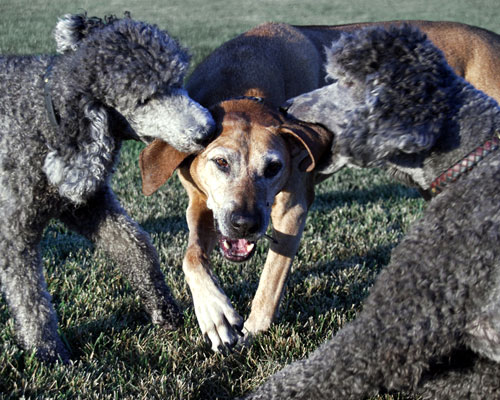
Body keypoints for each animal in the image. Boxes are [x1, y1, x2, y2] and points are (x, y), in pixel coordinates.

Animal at [0, 13, 213, 362]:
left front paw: (165, 310)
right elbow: (29, 296)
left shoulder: (87, 204)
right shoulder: (14, 232)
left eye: (177, 81)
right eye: (145, 100)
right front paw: (48, 352)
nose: (209, 130)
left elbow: (136, 247)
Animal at [140, 20, 500, 352]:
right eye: (221, 163)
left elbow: (270, 280)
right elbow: (192, 256)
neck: (243, 82)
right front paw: (214, 314)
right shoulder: (200, 202)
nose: (245, 224)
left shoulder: (292, 209)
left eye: (274, 167)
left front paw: (252, 331)